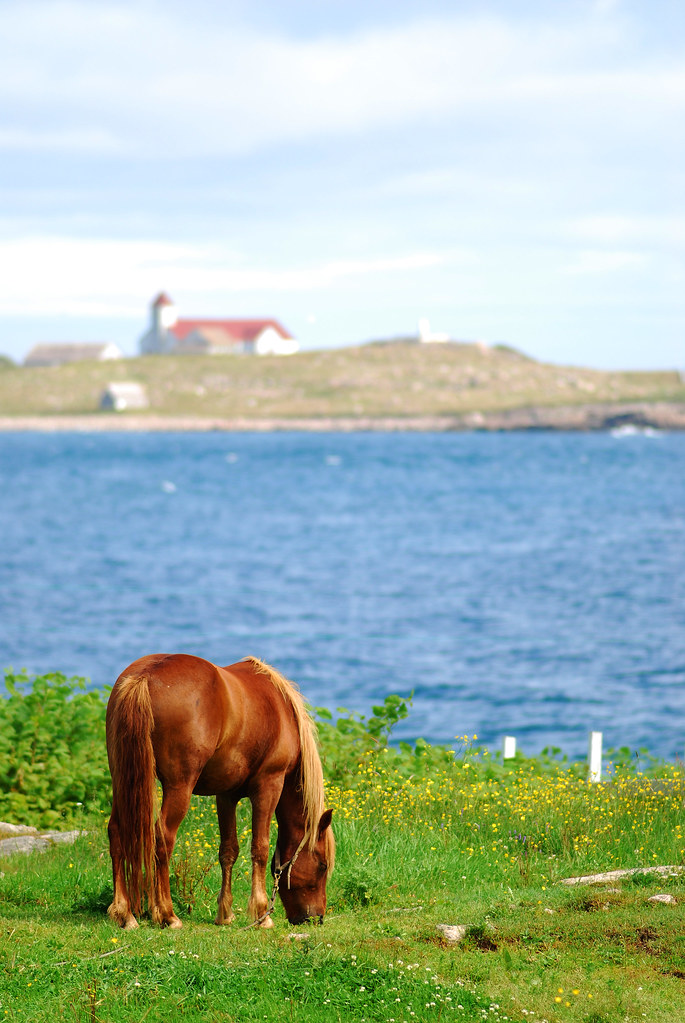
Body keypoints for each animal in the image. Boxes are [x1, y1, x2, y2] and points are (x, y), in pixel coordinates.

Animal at [105, 653, 334, 930]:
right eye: (322, 865)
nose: (316, 918)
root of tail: (143, 677)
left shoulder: (226, 795)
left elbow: (228, 851)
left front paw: (225, 914)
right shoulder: (269, 785)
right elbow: (260, 847)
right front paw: (261, 915)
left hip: (122, 782)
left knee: (116, 831)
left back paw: (125, 913)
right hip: (179, 787)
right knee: (163, 838)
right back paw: (168, 914)